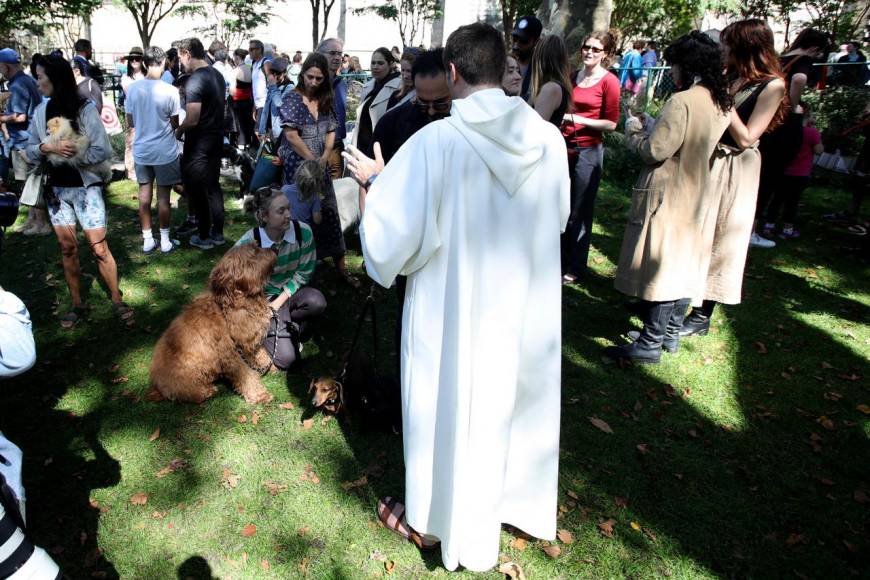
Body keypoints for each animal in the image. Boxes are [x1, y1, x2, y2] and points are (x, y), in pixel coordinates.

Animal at [150, 245, 278, 404]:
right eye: (255, 251)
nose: (275, 247)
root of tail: (156, 385)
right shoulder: (230, 354)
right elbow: (246, 375)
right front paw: (260, 395)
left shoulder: (250, 339)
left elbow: (261, 352)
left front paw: (269, 366)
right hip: (185, 377)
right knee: (188, 393)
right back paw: (207, 390)